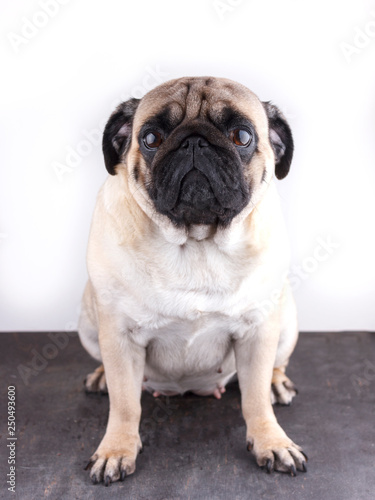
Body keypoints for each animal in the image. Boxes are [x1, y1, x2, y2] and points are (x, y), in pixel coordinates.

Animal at [78, 76, 308, 486]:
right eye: (150, 138)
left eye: (242, 136)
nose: (194, 142)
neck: (197, 242)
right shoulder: (119, 336)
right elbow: (125, 405)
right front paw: (116, 449)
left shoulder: (258, 332)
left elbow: (254, 400)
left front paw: (272, 441)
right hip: (88, 323)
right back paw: (101, 376)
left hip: (285, 322)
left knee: (272, 370)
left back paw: (277, 382)